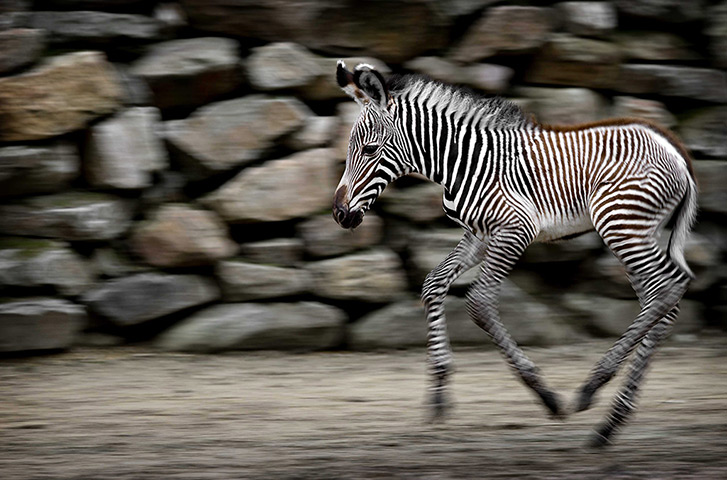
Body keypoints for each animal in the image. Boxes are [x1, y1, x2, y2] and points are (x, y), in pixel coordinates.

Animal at [332, 61, 698, 447]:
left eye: (369, 150)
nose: (340, 214)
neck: (463, 162)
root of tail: (675, 151)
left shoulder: (515, 229)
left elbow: (478, 303)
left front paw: (545, 395)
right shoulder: (479, 235)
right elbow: (433, 285)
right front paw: (439, 392)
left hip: (620, 224)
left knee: (667, 289)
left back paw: (594, 389)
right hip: (637, 232)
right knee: (662, 299)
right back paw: (613, 420)